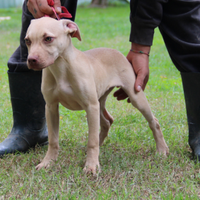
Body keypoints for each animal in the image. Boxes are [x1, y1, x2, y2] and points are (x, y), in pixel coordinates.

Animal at [25, 17, 169, 173]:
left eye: (48, 38)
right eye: (27, 41)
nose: (31, 60)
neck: (61, 68)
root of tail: (116, 52)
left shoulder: (90, 105)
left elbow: (91, 140)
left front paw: (91, 166)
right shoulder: (51, 107)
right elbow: (53, 140)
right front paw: (48, 162)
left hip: (134, 97)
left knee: (153, 121)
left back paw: (162, 149)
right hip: (99, 102)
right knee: (107, 122)